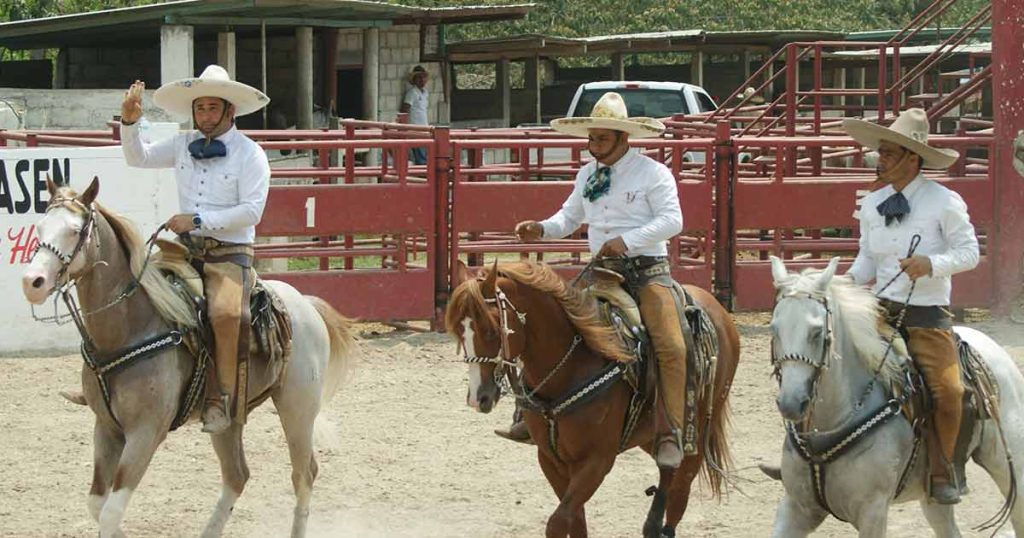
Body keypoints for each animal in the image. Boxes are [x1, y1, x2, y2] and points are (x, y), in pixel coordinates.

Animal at [19, 178, 360, 532]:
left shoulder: (146, 432)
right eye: (40, 227)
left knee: (304, 474)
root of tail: (305, 303)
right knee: (237, 475)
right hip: (229, 420)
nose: (32, 282)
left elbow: (111, 512)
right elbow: (97, 505)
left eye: (75, 230)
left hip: (298, 408)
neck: (132, 328)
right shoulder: (106, 428)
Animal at [444, 261, 741, 536]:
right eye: (459, 331)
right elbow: (575, 522)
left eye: (491, 330)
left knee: (680, 486)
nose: (478, 398)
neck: (573, 366)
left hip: (698, 428)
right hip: (649, 435)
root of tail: (718, 311)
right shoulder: (550, 460)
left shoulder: (597, 461)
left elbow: (557, 522)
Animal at [770, 256, 1024, 536]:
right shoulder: (796, 507)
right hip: (933, 498)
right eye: (774, 329)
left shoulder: (872, 512)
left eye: (816, 332)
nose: (791, 403)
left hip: (1010, 467)